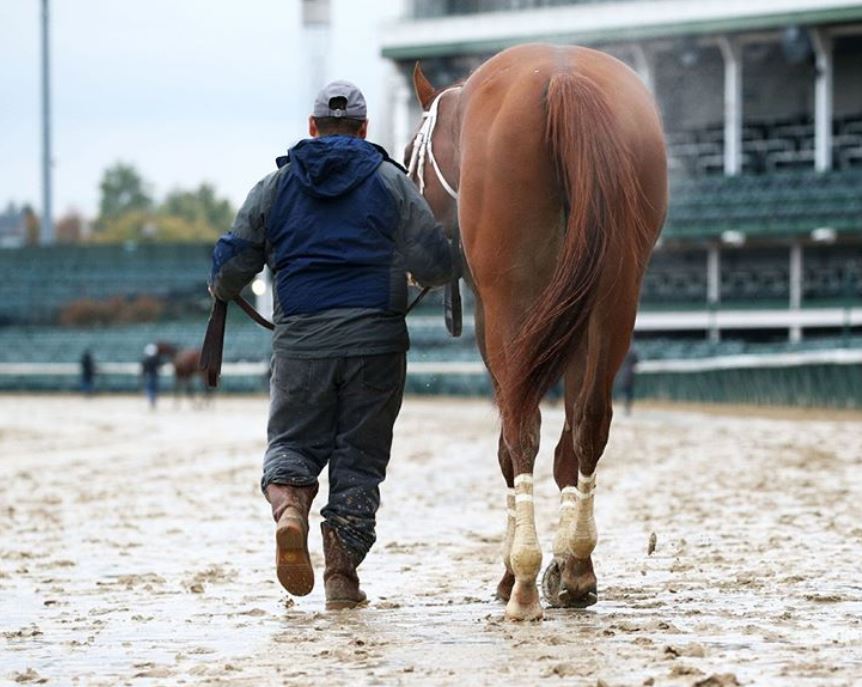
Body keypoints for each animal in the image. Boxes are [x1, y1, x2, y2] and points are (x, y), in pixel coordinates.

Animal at [408, 44, 672, 624]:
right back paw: (576, 570)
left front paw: (514, 571)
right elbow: (569, 445)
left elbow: (512, 444)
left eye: (412, 155)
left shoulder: (496, 322)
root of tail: (562, 78)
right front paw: (571, 563)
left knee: (523, 428)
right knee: (592, 422)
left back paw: (524, 583)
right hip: (616, 295)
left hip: (516, 303)